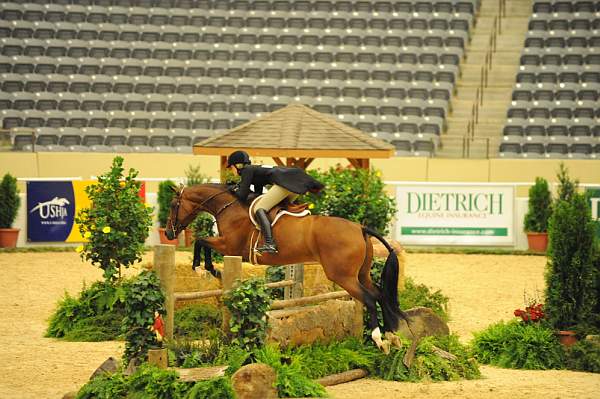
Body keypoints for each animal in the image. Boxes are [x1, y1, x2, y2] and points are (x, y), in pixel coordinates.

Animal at [166, 184, 406, 350]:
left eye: (173, 205)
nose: (168, 233)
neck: (229, 206)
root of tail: (361, 228)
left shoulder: (230, 246)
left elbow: (200, 241)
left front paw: (202, 269)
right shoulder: (228, 247)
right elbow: (202, 243)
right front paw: (211, 270)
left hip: (343, 276)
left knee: (369, 299)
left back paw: (379, 339)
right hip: (361, 274)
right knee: (380, 294)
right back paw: (392, 336)